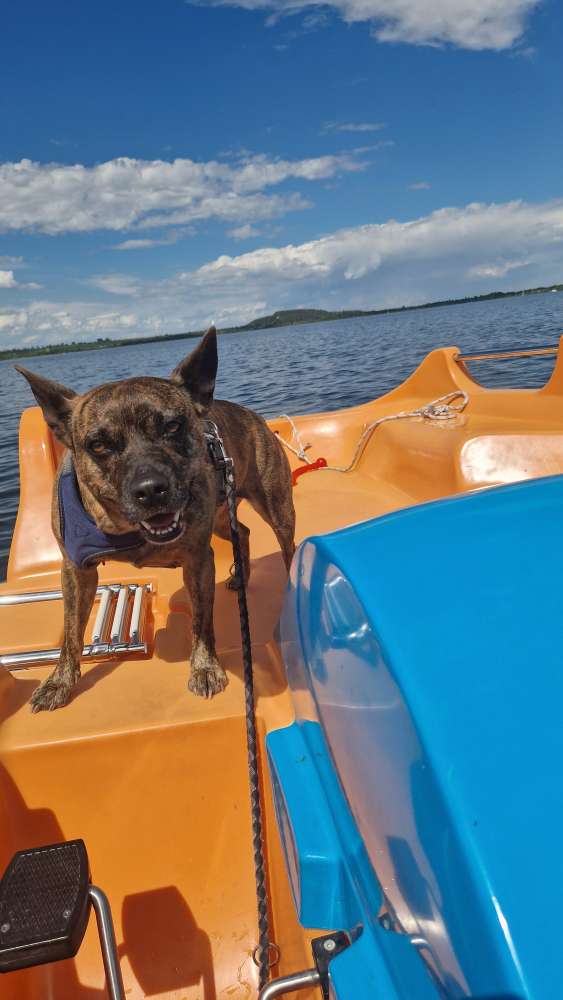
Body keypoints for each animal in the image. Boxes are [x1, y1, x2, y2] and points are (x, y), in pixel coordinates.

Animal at [16, 328, 298, 712]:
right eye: (98, 445)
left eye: (173, 426)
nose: (151, 490)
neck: (126, 530)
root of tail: (251, 414)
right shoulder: (75, 571)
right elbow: (71, 631)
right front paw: (59, 681)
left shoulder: (198, 560)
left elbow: (201, 622)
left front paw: (205, 667)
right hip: (222, 518)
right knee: (244, 531)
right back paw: (241, 575)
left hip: (277, 508)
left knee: (287, 545)